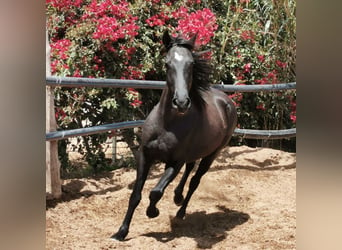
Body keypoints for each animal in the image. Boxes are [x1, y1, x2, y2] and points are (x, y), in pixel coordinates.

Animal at [112, 31, 238, 240]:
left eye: (192, 64)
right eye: (167, 63)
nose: (181, 102)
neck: (166, 125)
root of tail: (227, 102)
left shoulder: (175, 162)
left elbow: (155, 192)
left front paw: (152, 212)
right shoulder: (145, 156)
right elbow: (136, 195)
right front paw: (121, 232)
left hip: (211, 154)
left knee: (195, 181)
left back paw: (180, 211)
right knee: (189, 170)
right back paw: (178, 197)